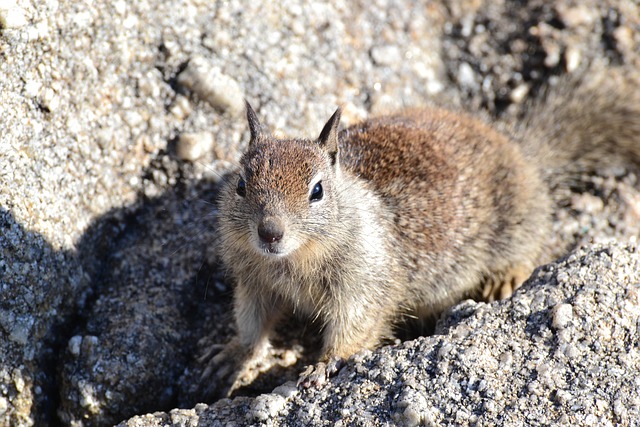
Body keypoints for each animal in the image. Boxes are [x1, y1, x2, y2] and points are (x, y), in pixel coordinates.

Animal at [200, 67, 640, 399]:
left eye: (318, 191)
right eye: (241, 185)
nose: (269, 232)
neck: (293, 261)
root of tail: (521, 149)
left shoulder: (364, 282)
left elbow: (355, 326)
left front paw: (321, 365)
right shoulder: (255, 282)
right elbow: (252, 322)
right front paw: (232, 355)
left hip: (518, 220)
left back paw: (504, 278)